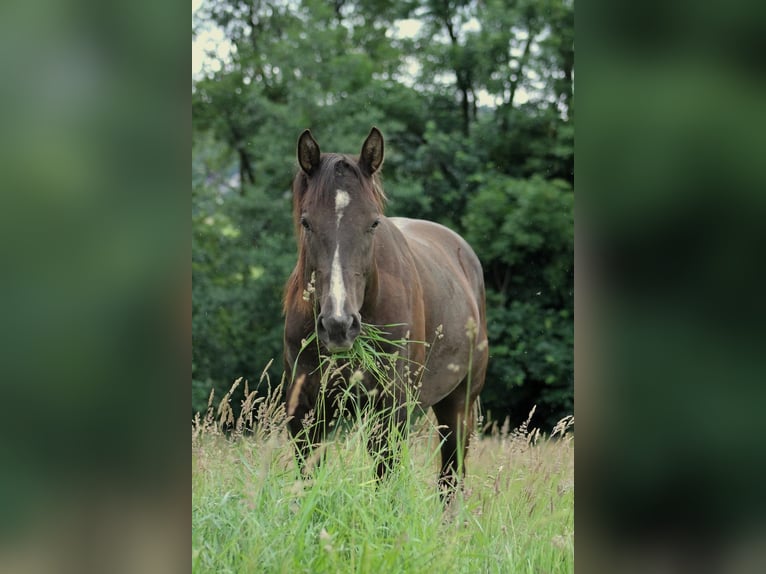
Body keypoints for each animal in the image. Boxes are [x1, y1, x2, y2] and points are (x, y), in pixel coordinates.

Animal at [283, 127, 488, 493]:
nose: (338, 325)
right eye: (306, 222)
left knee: (450, 477)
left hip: (459, 405)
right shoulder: (305, 412)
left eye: (373, 223)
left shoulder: (391, 410)